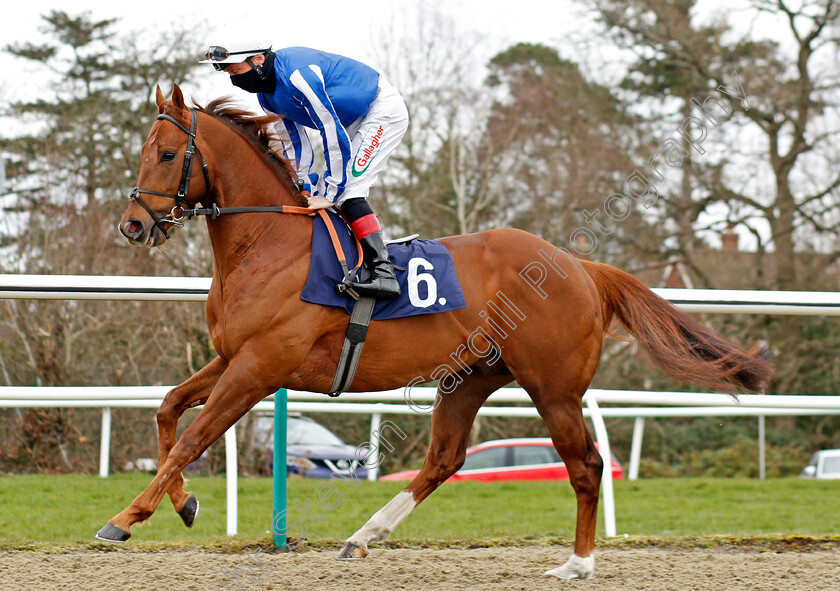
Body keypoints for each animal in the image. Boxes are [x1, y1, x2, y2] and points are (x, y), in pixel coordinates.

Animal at [106, 85, 776, 580]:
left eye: (166, 154)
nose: (133, 226)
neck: (271, 243)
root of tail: (579, 266)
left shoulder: (260, 366)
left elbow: (193, 438)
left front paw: (126, 516)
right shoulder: (232, 358)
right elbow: (168, 410)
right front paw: (185, 503)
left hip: (553, 386)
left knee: (584, 464)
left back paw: (578, 564)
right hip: (470, 377)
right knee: (444, 459)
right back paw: (363, 536)